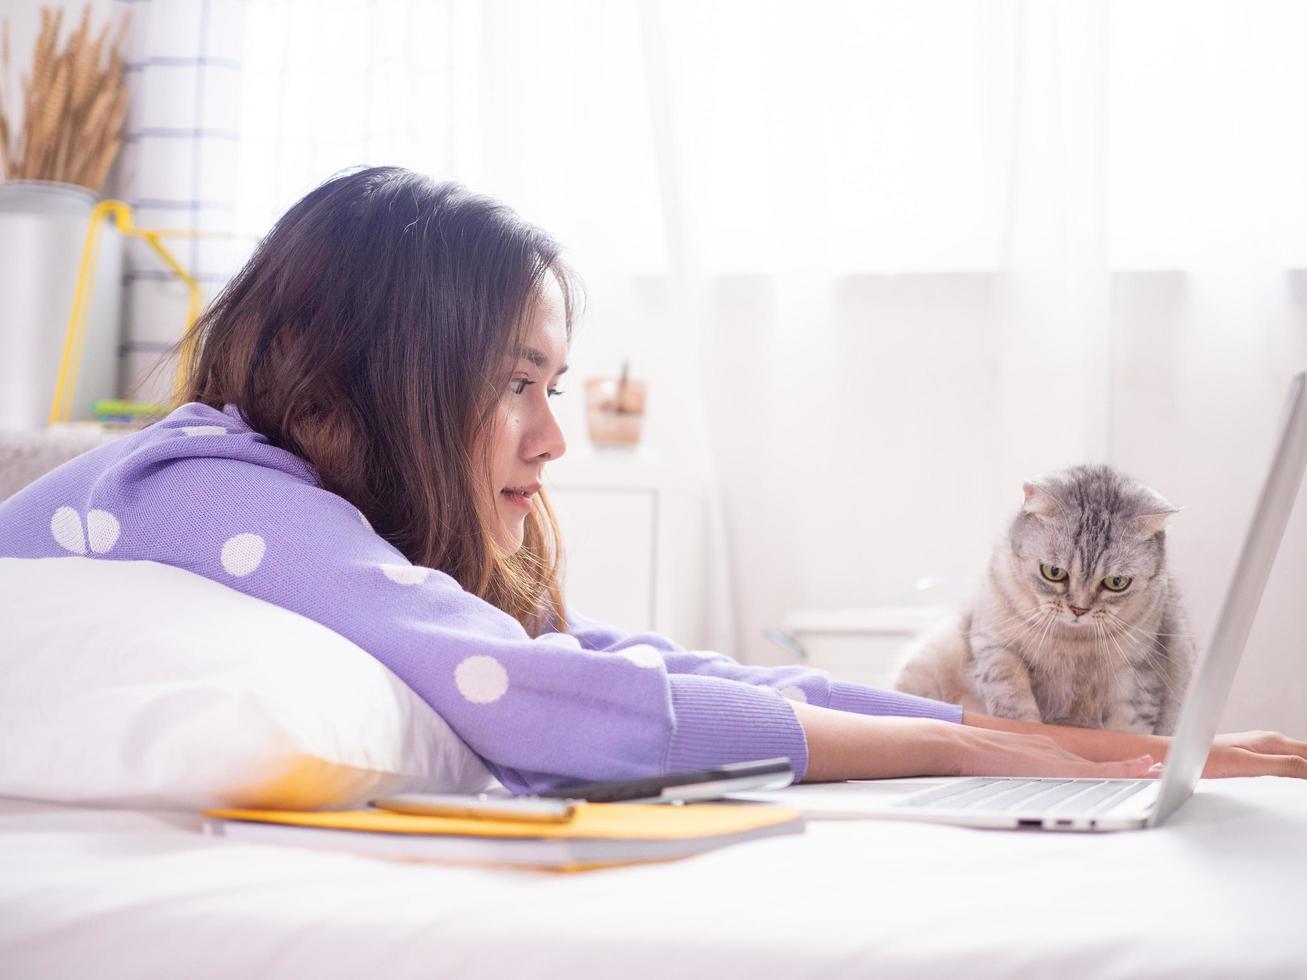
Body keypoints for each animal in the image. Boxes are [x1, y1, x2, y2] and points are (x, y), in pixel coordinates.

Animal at [899, 467, 1197, 736]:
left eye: (1116, 582)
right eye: (1054, 572)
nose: (1079, 609)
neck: (1071, 641)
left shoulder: (1140, 673)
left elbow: (1127, 728)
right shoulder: (994, 645)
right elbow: (1013, 701)